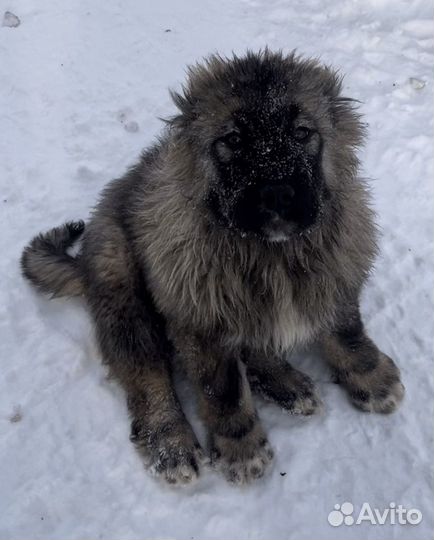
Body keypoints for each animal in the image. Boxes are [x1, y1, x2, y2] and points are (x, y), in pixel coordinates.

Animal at [22, 49, 406, 486]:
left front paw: (370, 375)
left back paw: (286, 382)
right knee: (145, 374)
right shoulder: (199, 316)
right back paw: (171, 443)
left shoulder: (335, 268)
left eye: (301, 133)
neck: (270, 253)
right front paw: (241, 447)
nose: (277, 194)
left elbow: (345, 329)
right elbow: (221, 388)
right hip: (123, 288)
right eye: (233, 140)